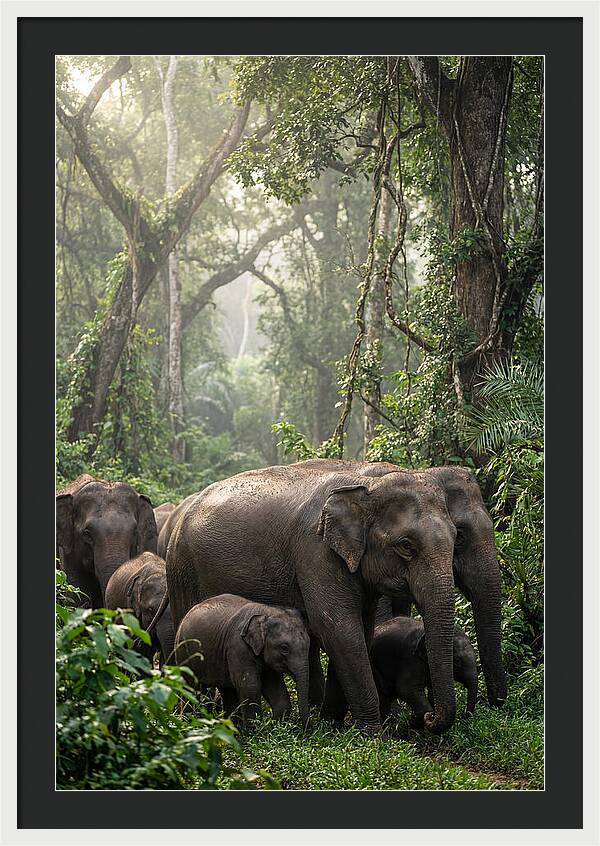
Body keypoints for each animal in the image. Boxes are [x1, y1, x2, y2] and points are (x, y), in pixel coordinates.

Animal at [175, 593, 311, 726]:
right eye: (284, 648)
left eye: (309, 643)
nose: (305, 729)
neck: (266, 612)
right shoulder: (238, 647)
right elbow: (249, 686)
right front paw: (255, 730)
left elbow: (276, 689)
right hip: (183, 652)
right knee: (190, 688)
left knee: (226, 692)